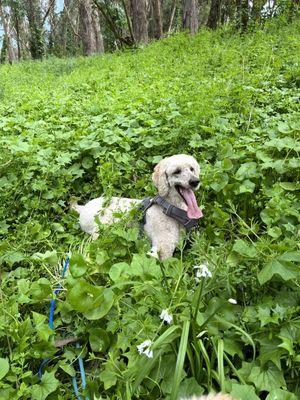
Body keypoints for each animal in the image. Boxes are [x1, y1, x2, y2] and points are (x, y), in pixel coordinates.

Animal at [72, 153, 203, 260]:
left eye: (192, 169)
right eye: (176, 171)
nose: (195, 181)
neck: (171, 209)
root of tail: (83, 208)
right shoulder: (164, 248)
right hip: (101, 230)